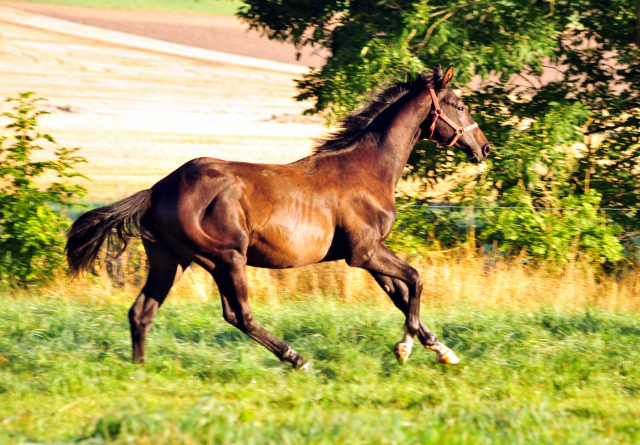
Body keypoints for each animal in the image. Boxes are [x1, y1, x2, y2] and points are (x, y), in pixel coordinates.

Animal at [67, 62, 492, 368]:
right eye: (460, 105)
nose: (485, 148)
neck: (367, 169)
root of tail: (157, 191)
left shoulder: (369, 255)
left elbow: (402, 296)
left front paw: (442, 350)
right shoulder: (364, 252)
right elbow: (416, 281)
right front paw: (405, 348)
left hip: (170, 260)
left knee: (141, 312)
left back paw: (138, 371)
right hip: (225, 258)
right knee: (238, 315)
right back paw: (297, 359)